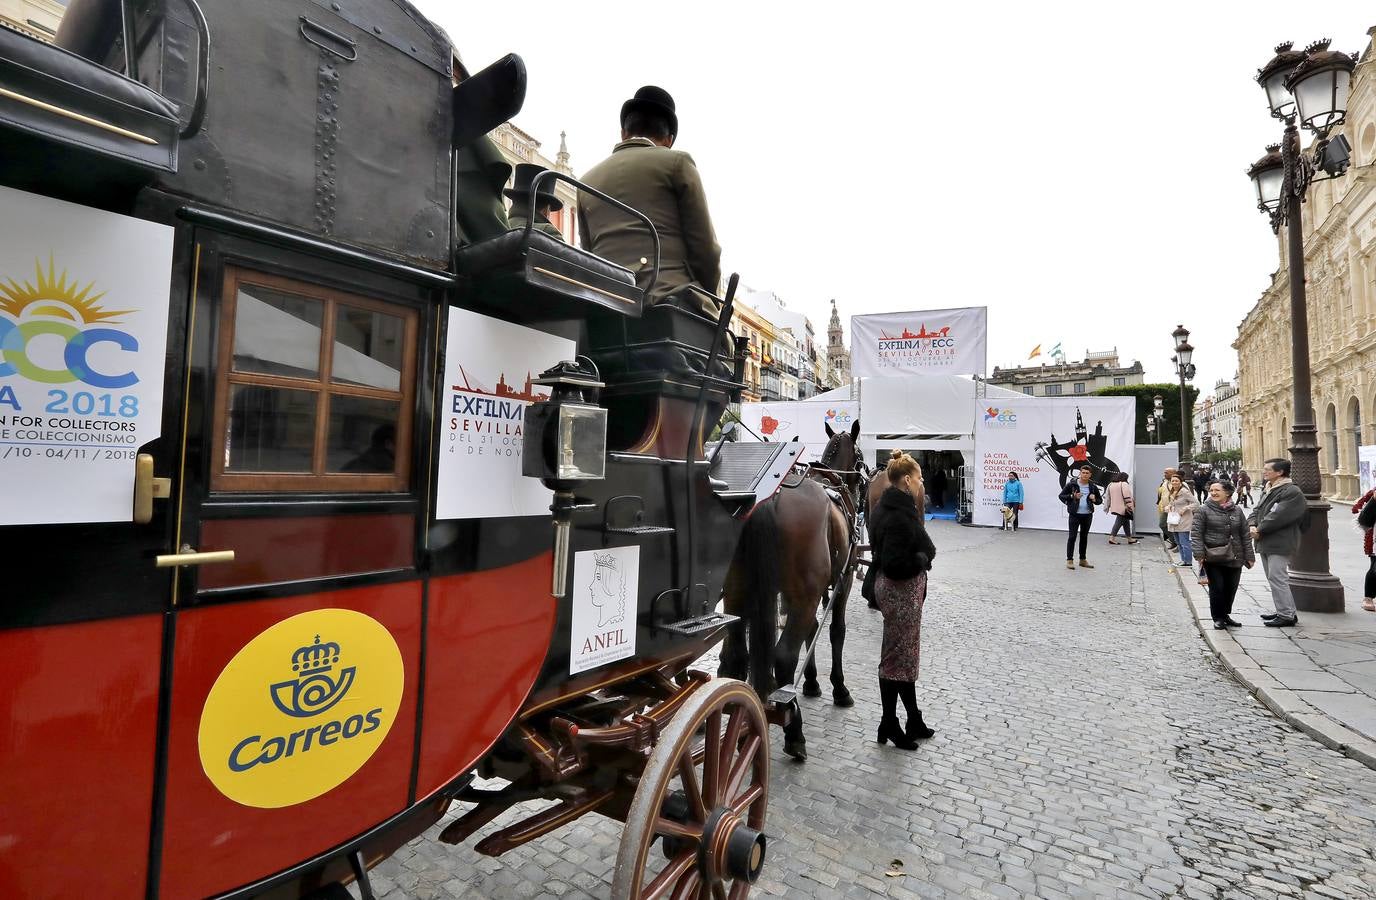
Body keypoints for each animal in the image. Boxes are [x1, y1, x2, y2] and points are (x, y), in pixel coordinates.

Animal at [721, 423, 858, 759]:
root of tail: (771, 497)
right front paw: (838, 688)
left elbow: (811, 630)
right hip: (803, 596)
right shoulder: (843, 580)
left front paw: (811, 683)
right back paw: (793, 731)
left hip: (736, 591)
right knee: (784, 657)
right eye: (860, 457)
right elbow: (835, 630)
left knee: (737, 654)